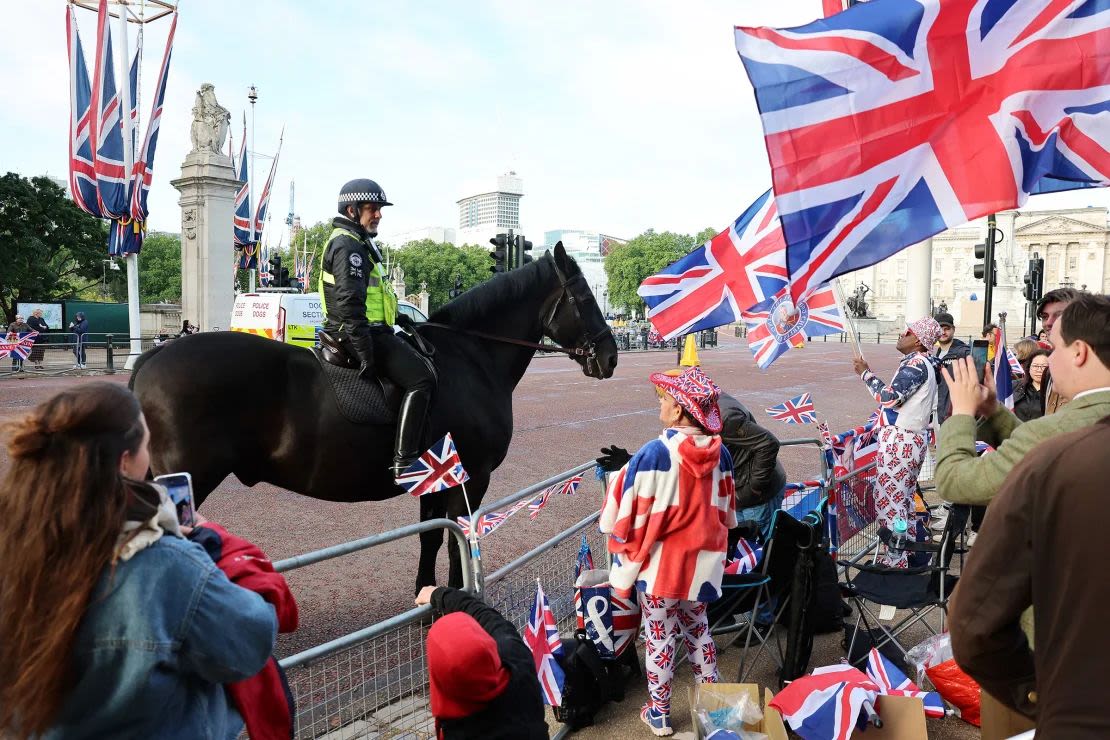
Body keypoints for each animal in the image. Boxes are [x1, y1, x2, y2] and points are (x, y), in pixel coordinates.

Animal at [130, 244, 621, 590]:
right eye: (583, 294)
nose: (611, 356)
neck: (472, 355)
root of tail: (150, 358)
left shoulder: (437, 476)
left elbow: (432, 535)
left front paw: (426, 594)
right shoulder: (470, 477)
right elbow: (459, 539)